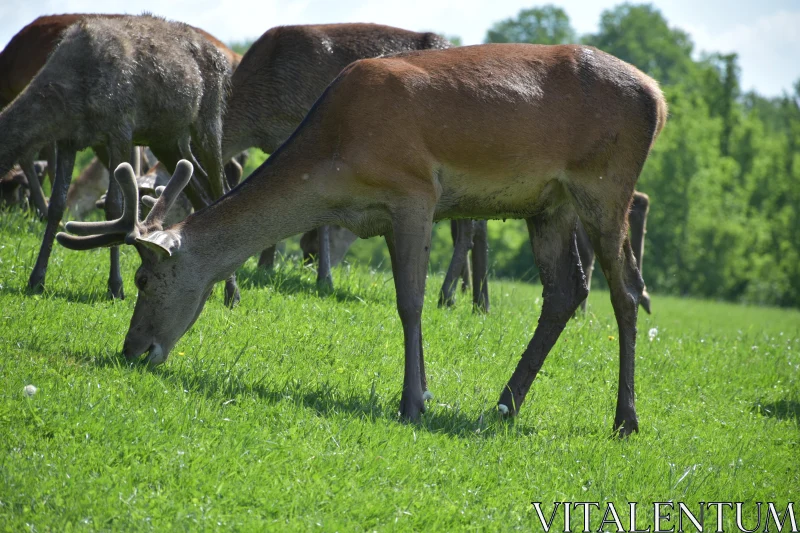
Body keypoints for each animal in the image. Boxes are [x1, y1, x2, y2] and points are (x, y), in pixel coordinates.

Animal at [0, 14, 241, 304]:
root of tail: (223, 57)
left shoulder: (120, 130)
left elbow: (114, 206)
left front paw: (115, 286)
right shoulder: (68, 141)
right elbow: (56, 203)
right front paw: (36, 279)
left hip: (209, 120)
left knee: (220, 188)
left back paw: (232, 292)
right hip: (167, 139)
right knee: (200, 194)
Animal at [59, 43, 664, 436]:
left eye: (145, 277)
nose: (133, 349)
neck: (335, 161)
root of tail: (658, 98)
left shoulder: (416, 190)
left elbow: (410, 302)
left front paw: (412, 401)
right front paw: (424, 392)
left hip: (605, 184)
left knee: (626, 292)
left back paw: (625, 419)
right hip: (549, 204)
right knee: (565, 292)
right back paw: (505, 405)